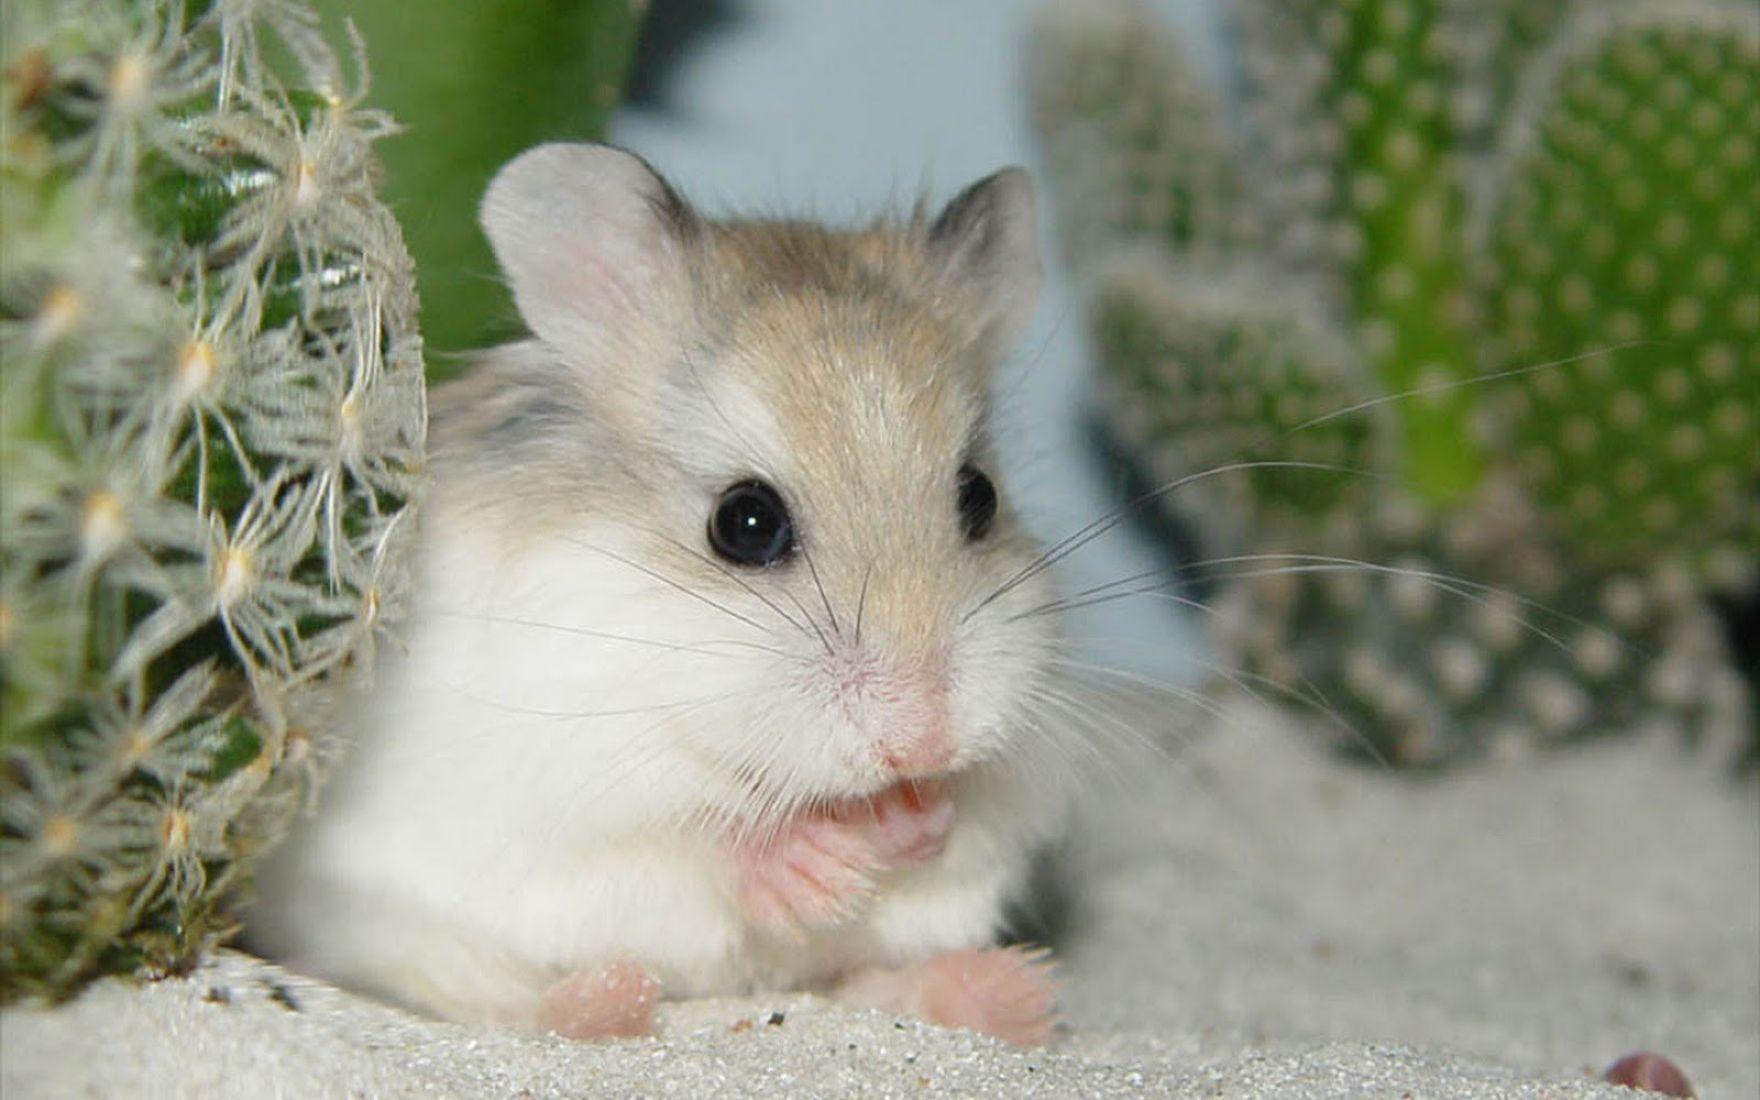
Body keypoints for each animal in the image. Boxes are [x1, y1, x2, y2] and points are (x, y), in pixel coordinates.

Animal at [251, 143, 1074, 1045]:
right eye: (745, 523)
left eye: (980, 497)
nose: (923, 744)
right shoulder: (574, 786)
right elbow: (698, 840)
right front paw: (819, 861)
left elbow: (962, 831)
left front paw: (915, 821)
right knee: (503, 997)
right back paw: (610, 1000)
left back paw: (1013, 995)